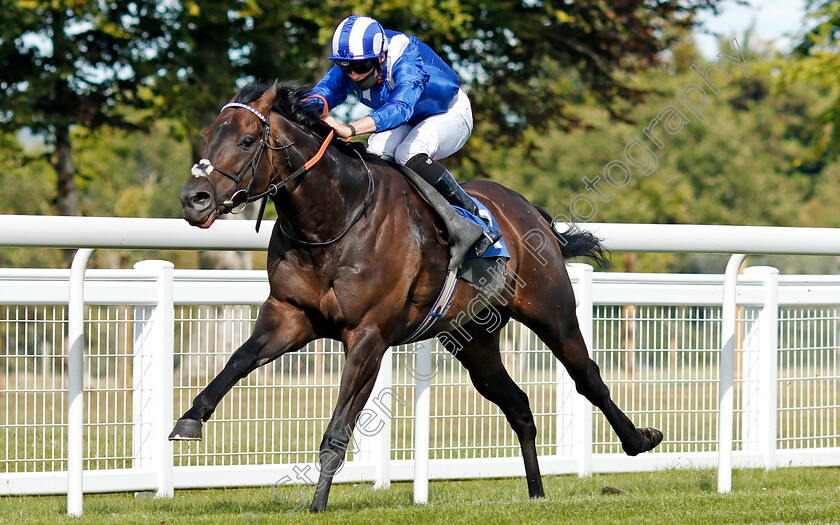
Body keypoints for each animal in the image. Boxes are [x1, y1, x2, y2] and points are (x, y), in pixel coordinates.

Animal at [176, 82, 664, 512]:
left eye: (246, 140)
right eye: (207, 136)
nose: (193, 199)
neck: (334, 220)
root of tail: (531, 212)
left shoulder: (368, 337)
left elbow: (338, 430)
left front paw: (316, 505)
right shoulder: (289, 316)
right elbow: (238, 359)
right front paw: (190, 419)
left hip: (552, 312)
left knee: (588, 378)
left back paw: (640, 439)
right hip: (474, 339)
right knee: (517, 404)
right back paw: (537, 493)